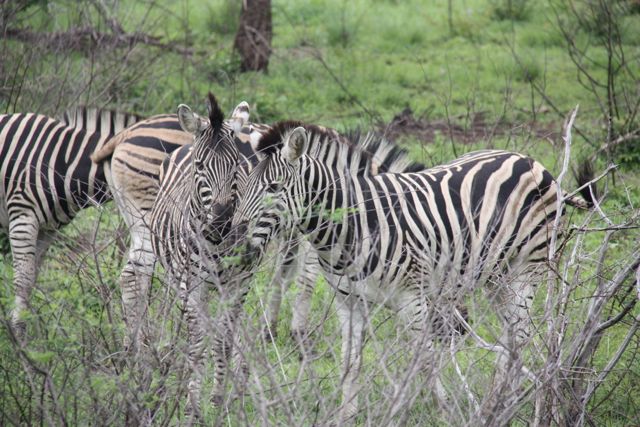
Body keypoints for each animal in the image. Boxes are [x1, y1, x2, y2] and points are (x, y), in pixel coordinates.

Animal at [0, 107, 139, 337]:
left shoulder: (47, 229)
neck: (66, 162)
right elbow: (24, 280)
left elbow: (32, 279)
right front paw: (18, 333)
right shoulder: (22, 217)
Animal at [229, 124, 595, 420]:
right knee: (511, 343)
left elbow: (426, 360)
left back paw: (500, 407)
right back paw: (498, 404)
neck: (354, 225)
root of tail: (532, 161)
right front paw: (345, 415)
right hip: (496, 278)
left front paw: (444, 411)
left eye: (274, 187)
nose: (234, 244)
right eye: (242, 187)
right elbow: (350, 363)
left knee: (519, 339)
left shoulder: (412, 297)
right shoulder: (349, 302)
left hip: (527, 271)